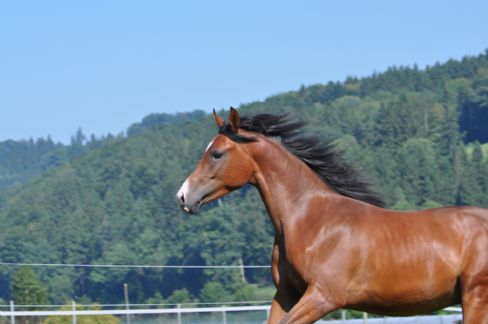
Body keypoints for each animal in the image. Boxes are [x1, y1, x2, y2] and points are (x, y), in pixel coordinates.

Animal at [175, 107, 488, 322]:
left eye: (216, 154)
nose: (182, 196)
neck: (311, 220)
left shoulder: (323, 296)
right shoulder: (287, 294)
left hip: (475, 297)